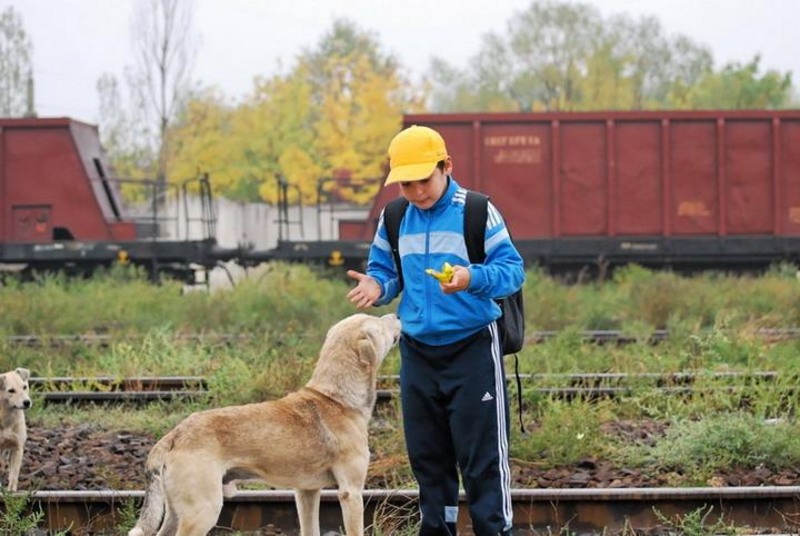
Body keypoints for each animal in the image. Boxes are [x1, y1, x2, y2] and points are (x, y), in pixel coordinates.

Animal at [129, 313, 401, 536]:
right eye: (378, 323)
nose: (397, 315)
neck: (337, 398)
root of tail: (174, 435)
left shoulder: (306, 492)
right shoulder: (350, 492)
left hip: (176, 512)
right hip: (202, 511)